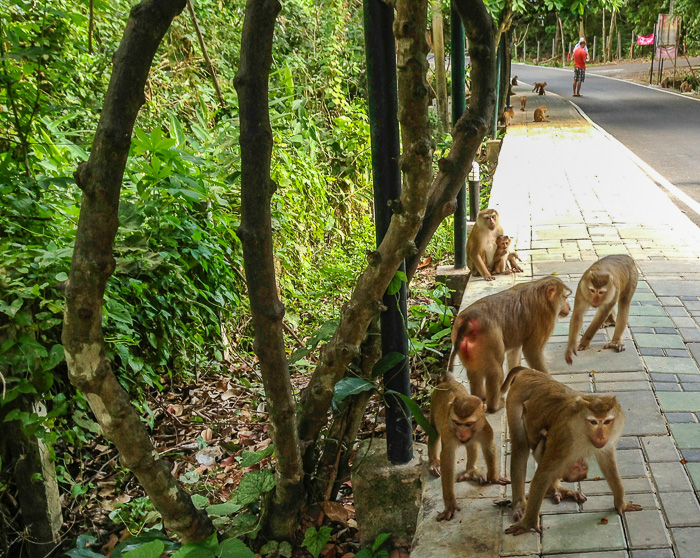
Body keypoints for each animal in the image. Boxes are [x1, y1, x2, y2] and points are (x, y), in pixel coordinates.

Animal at [426, 374, 508, 524]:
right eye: (457, 423)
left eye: (469, 424)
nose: (462, 434)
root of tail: (448, 381)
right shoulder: (449, 431)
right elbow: (447, 458)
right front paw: (450, 505)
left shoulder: (484, 428)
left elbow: (488, 446)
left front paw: (494, 477)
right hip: (433, 403)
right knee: (434, 432)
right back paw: (434, 462)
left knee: (472, 444)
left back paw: (470, 471)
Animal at [448, 278, 576, 414]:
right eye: (565, 297)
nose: (569, 307)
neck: (542, 294)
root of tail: (468, 321)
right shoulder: (545, 318)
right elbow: (532, 350)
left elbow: (515, 351)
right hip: (490, 338)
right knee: (495, 372)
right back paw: (494, 406)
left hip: (460, 340)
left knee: (474, 370)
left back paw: (480, 398)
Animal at [500, 368, 644, 540]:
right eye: (594, 422)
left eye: (607, 421)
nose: (601, 436)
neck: (581, 428)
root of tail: (530, 373)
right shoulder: (565, 438)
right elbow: (542, 475)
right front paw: (528, 524)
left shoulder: (608, 442)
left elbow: (607, 463)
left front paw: (621, 502)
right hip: (515, 399)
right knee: (521, 447)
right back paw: (520, 504)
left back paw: (555, 488)